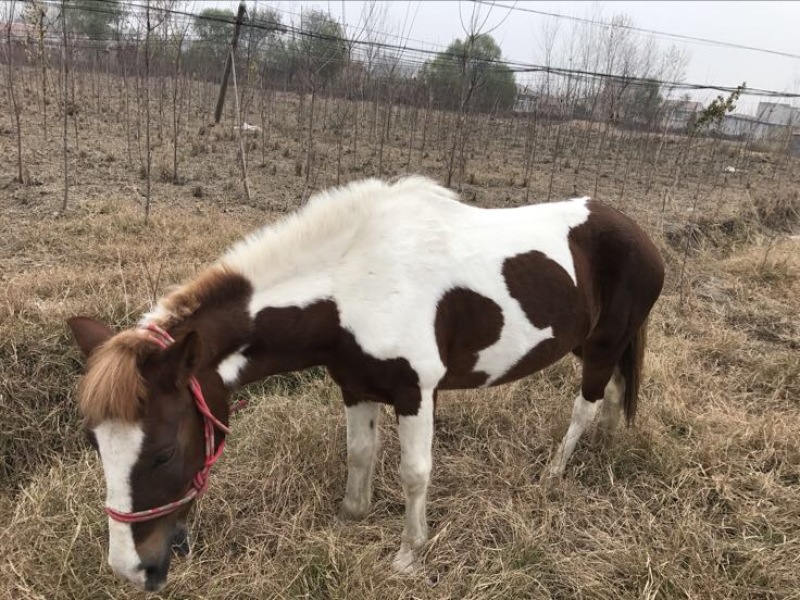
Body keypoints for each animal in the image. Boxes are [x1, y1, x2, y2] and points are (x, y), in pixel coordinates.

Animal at [68, 176, 665, 591]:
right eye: (97, 445)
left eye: (165, 453)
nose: (132, 569)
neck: (354, 284)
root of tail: (640, 232)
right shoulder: (355, 387)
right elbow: (360, 455)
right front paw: (351, 519)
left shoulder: (416, 394)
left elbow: (415, 474)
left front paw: (408, 555)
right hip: (594, 346)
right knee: (615, 394)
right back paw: (607, 445)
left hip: (603, 347)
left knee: (586, 405)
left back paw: (554, 474)